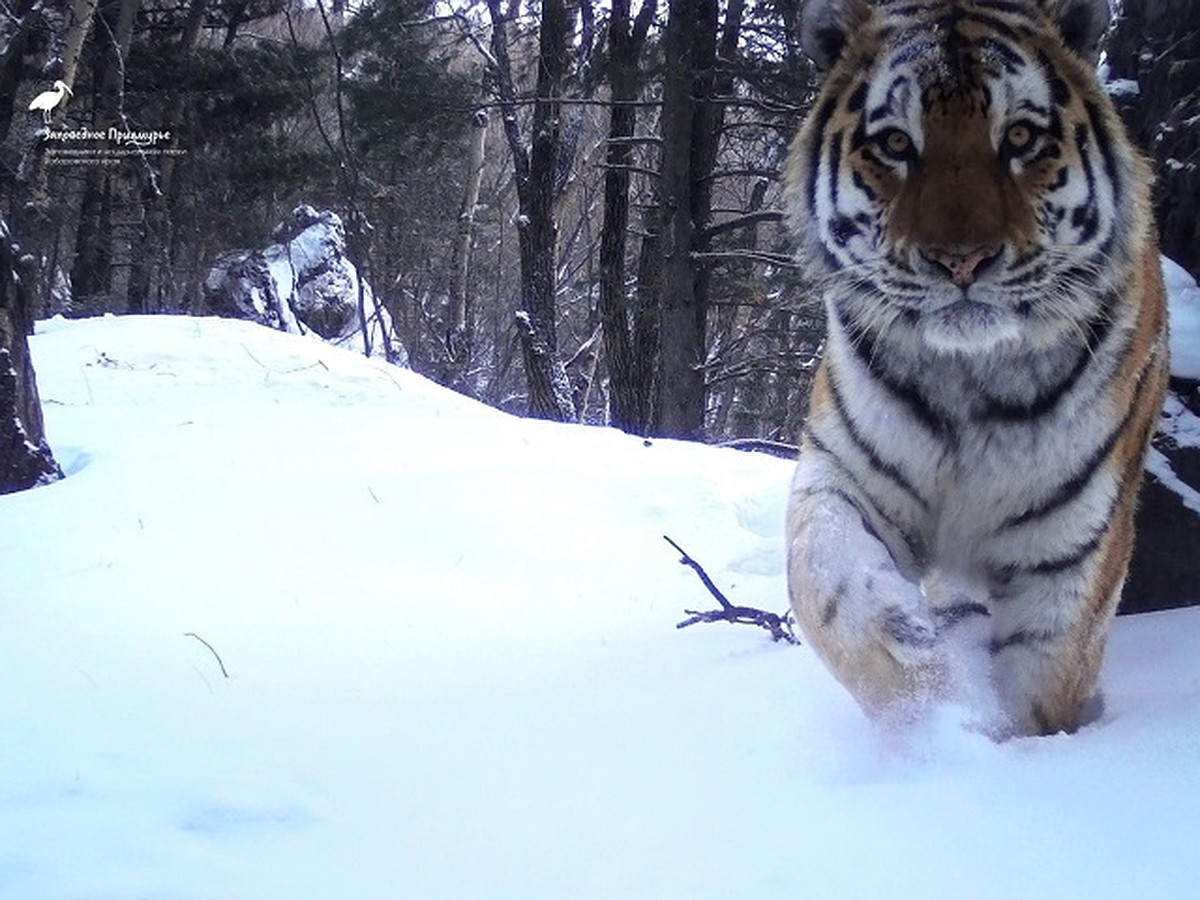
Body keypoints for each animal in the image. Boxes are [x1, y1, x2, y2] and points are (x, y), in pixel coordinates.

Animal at [782, 0, 1166, 734]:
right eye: (895, 144)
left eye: (1019, 136)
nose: (962, 260)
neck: (970, 379)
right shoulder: (845, 469)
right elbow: (826, 576)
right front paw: (922, 683)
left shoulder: (1070, 546)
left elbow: (1043, 677)